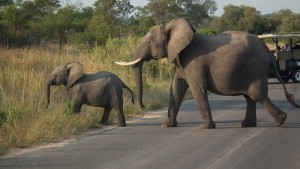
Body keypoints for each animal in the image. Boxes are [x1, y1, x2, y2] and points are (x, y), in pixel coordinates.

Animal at [116, 16, 298, 128]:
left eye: (149, 42)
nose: (143, 106)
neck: (171, 26)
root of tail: (268, 51)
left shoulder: (194, 61)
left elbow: (197, 89)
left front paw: (206, 127)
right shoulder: (181, 61)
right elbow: (176, 89)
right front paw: (167, 125)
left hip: (254, 68)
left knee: (257, 95)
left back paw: (280, 121)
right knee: (250, 97)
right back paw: (247, 124)